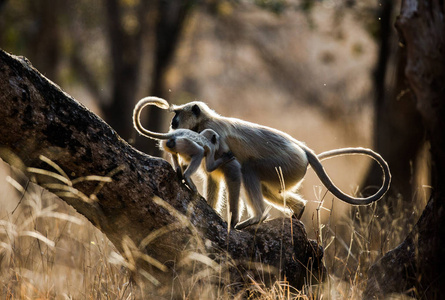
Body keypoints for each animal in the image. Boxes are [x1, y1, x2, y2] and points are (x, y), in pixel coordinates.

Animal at [133, 97, 241, 226]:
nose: (172, 121)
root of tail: (174, 134)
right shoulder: (211, 148)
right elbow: (209, 167)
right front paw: (226, 157)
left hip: (169, 145)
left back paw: (179, 172)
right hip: (184, 144)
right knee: (199, 152)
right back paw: (187, 178)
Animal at [166, 99, 388, 229]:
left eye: (177, 113)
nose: (172, 122)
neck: (204, 122)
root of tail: (302, 148)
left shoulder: (214, 135)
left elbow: (234, 169)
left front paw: (232, 221)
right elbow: (213, 177)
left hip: (287, 164)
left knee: (248, 169)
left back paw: (257, 218)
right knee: (265, 187)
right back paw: (298, 209)